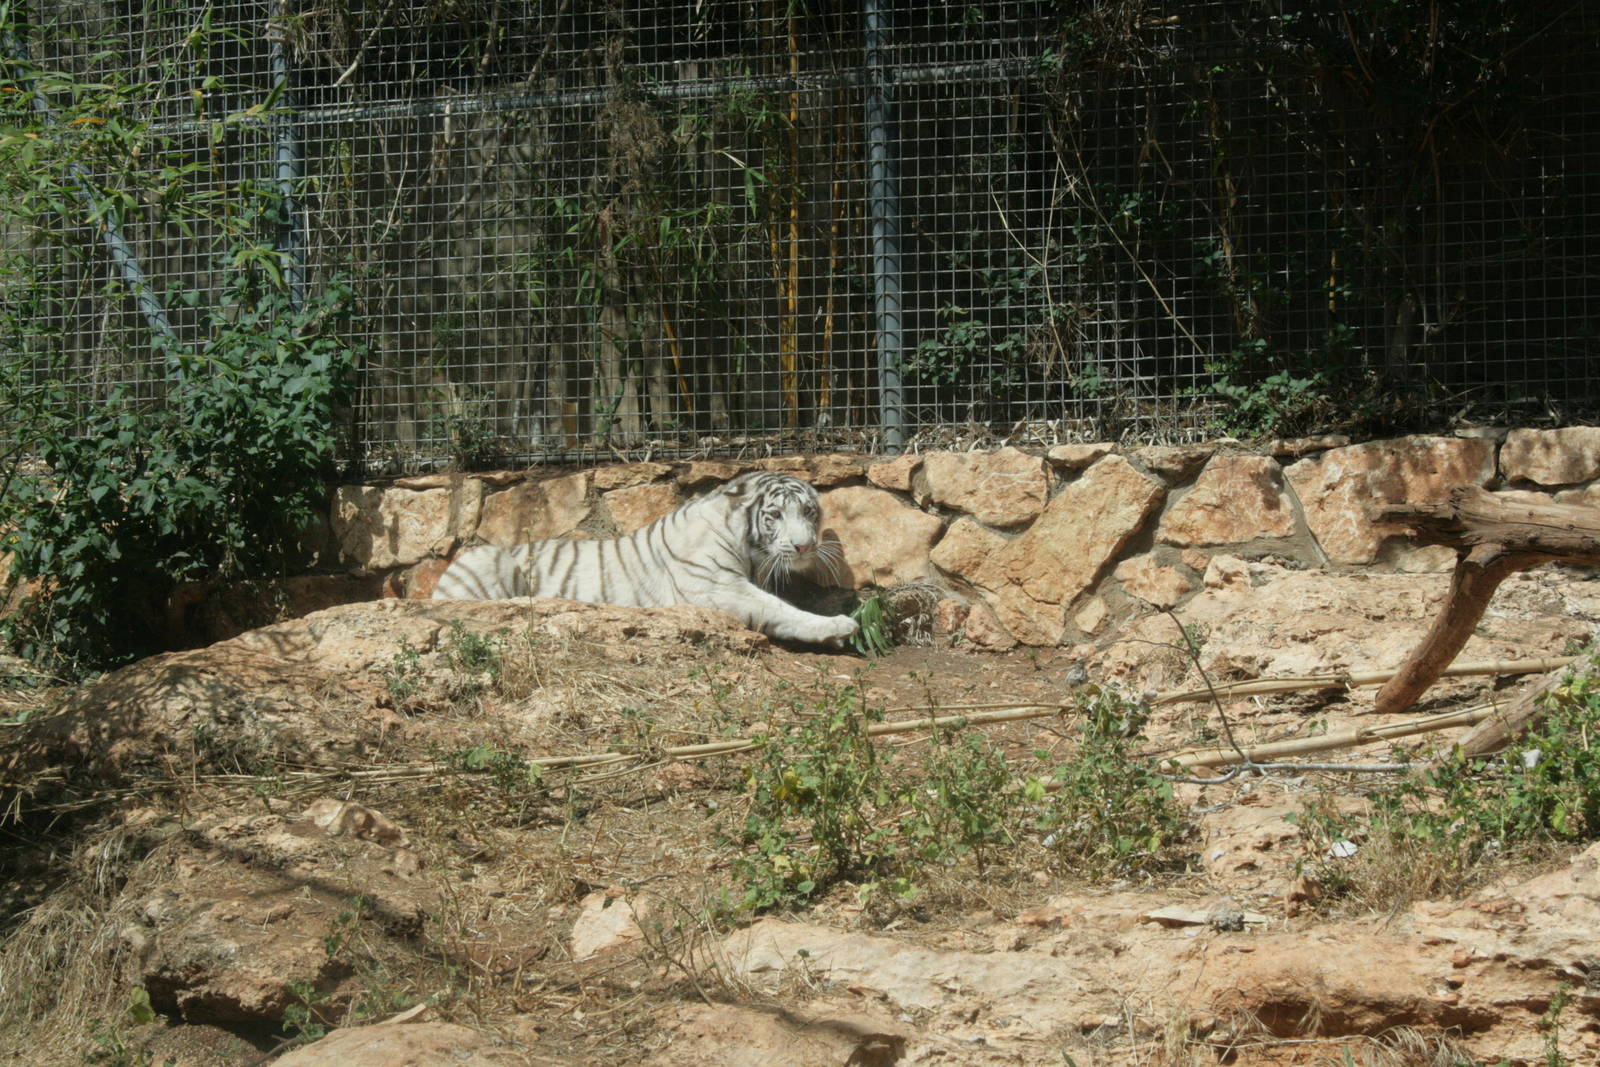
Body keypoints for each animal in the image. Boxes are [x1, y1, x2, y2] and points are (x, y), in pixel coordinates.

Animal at [431, 471, 860, 647]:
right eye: (774, 515)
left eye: (808, 512)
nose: (804, 547)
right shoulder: (716, 588)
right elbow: (780, 608)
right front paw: (838, 625)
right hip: (488, 557)